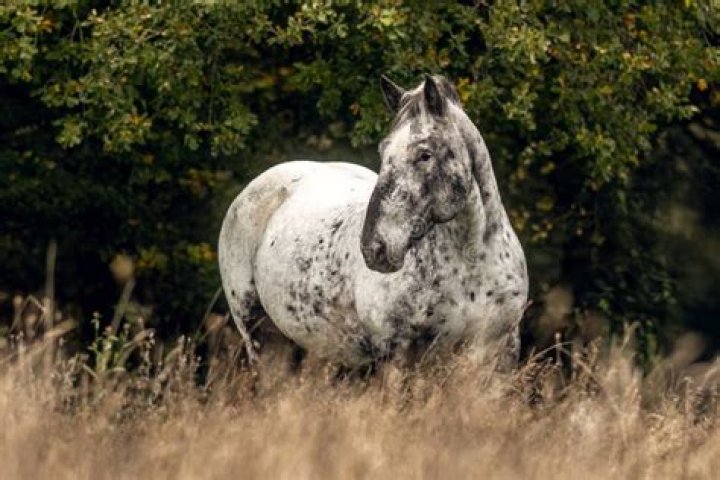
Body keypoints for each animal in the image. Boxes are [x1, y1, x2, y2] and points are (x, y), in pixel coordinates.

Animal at [218, 75, 528, 372]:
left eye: (425, 154)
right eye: (383, 152)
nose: (374, 248)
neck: (472, 261)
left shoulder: (500, 353)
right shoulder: (397, 355)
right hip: (262, 340)